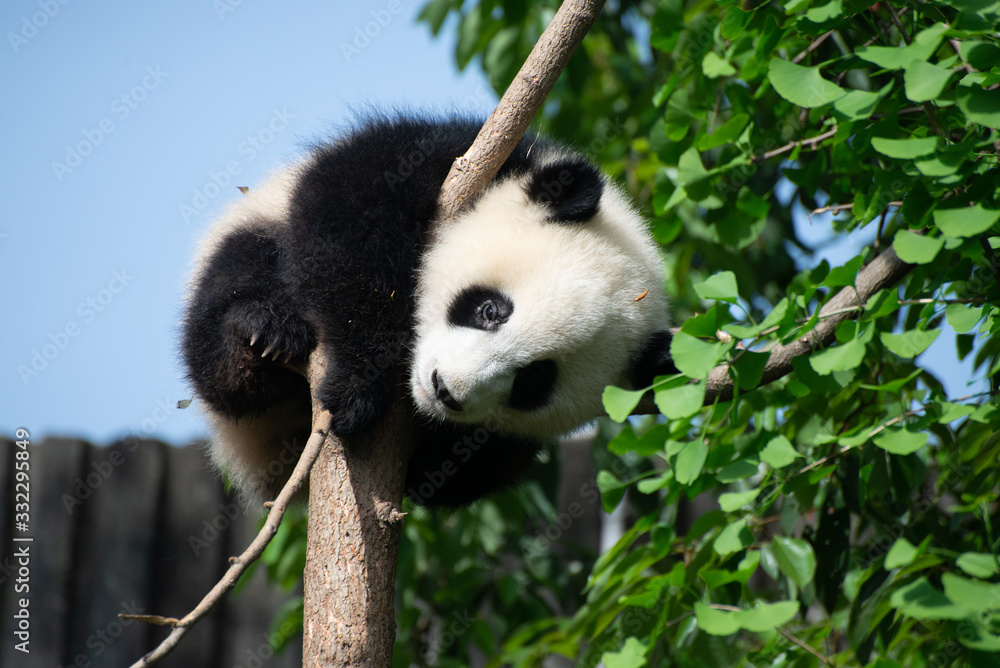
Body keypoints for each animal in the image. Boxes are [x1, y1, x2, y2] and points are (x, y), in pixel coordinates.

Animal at [182, 114, 674, 508]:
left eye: (534, 381)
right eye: (491, 310)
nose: (445, 390)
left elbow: (445, 480)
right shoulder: (467, 153)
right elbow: (351, 212)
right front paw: (358, 388)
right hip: (252, 229)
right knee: (230, 304)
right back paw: (261, 336)